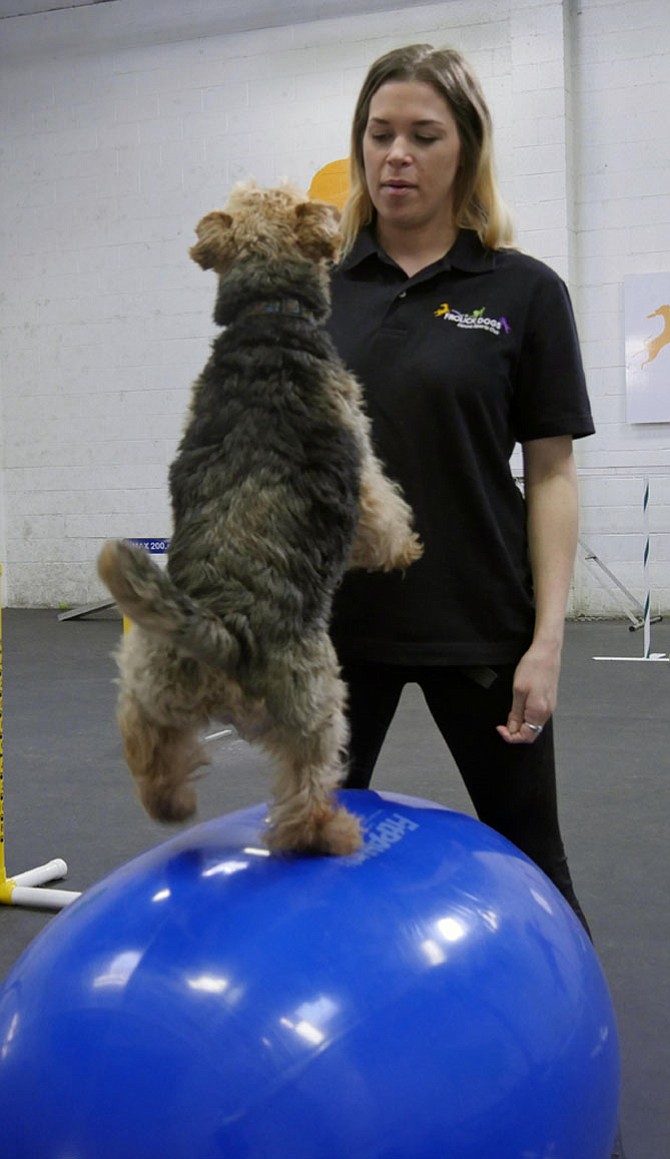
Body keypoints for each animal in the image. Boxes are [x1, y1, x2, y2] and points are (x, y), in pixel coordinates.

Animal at [97, 178, 421, 853]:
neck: (267, 317)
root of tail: (223, 628)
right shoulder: (362, 460)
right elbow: (386, 510)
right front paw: (404, 548)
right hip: (317, 700)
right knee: (304, 785)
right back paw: (329, 830)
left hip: (151, 685)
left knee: (147, 749)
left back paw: (173, 801)